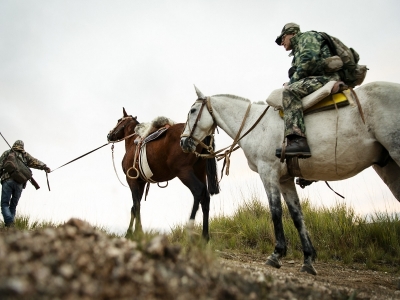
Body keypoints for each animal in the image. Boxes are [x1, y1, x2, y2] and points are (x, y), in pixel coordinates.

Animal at [107, 108, 219, 239]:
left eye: (119, 120)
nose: (109, 135)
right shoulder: (141, 182)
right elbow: (135, 207)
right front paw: (134, 232)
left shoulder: (132, 180)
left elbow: (136, 204)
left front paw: (135, 232)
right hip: (199, 171)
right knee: (205, 197)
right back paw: (205, 236)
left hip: (184, 171)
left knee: (198, 191)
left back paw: (190, 231)